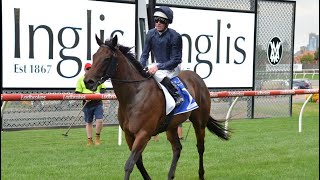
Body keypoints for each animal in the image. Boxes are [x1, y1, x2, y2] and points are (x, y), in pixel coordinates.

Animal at [84, 35, 230, 180]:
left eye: (107, 58)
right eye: (94, 56)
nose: (88, 81)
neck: (134, 95)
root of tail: (197, 78)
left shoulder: (144, 133)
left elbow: (129, 164)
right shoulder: (129, 134)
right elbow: (138, 162)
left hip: (199, 121)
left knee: (200, 147)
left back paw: (201, 175)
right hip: (171, 126)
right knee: (177, 148)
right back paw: (170, 175)